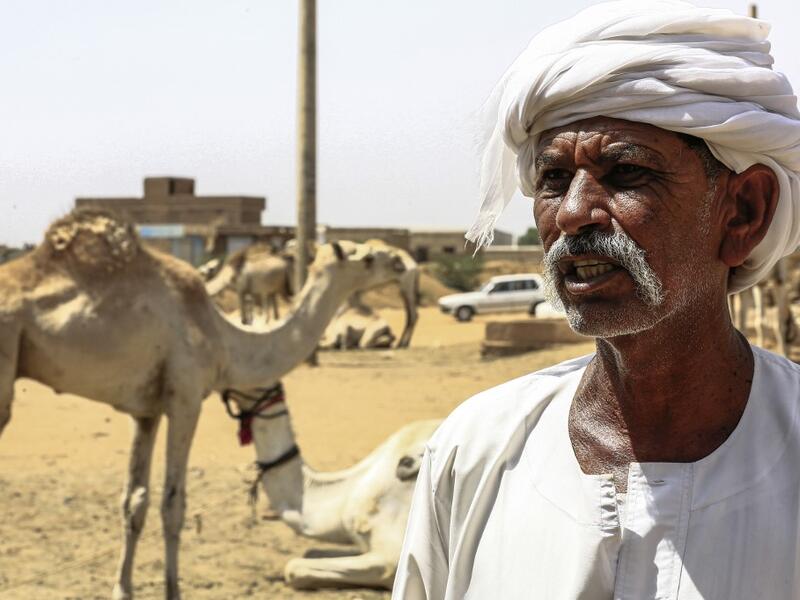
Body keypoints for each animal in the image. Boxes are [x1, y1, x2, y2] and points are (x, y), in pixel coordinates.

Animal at [0, 209, 410, 600]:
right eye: (368, 257)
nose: (399, 261)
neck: (223, 336)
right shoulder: (185, 397)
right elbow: (173, 504)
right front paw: (172, 591)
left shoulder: (145, 410)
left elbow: (134, 501)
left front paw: (122, 590)